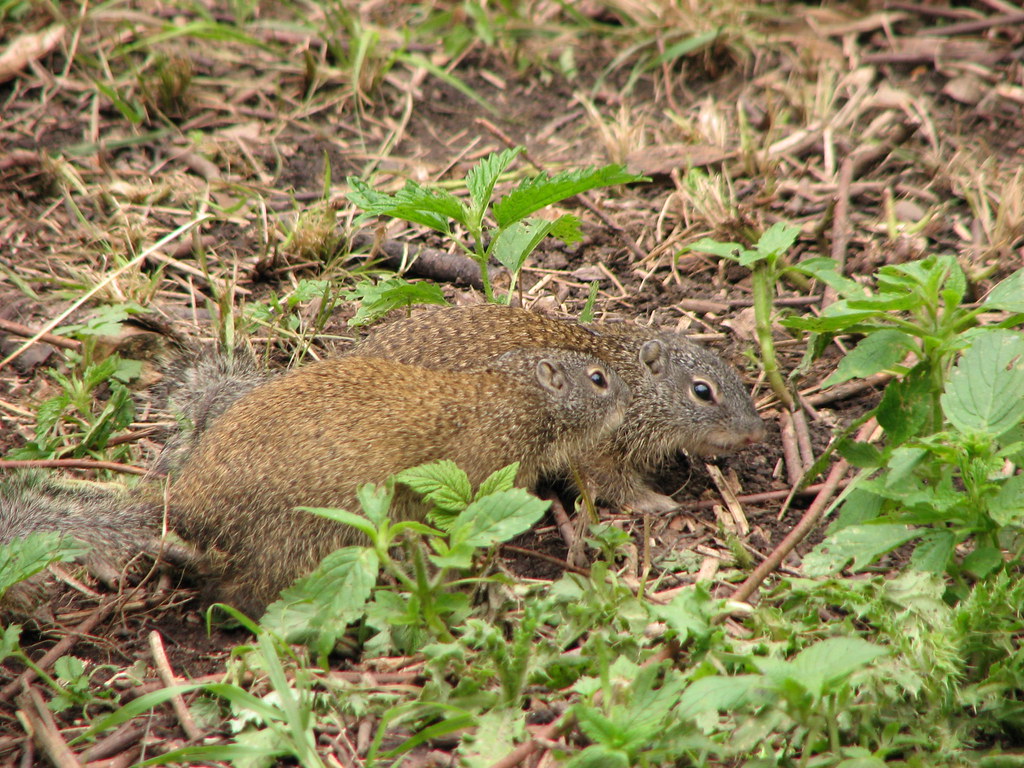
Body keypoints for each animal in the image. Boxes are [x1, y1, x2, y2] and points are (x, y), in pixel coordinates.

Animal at [2, 348, 628, 616]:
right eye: (599, 378)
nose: (629, 397)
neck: (518, 393)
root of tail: (187, 501)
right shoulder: (481, 463)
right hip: (308, 539)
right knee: (241, 597)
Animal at [353, 304, 765, 513]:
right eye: (702, 390)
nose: (756, 432)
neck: (630, 377)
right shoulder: (594, 449)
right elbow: (614, 482)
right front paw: (653, 501)